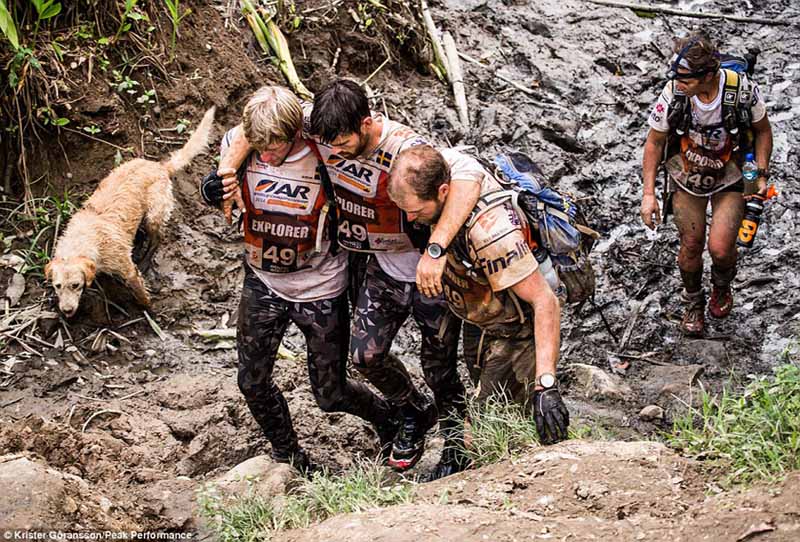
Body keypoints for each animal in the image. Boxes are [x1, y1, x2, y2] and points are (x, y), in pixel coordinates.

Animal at [46, 108, 216, 316]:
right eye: (58, 286)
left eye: (76, 285)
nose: (67, 311)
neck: (84, 238)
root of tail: (159, 166)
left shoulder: (128, 270)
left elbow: (140, 292)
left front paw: (149, 309)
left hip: (154, 215)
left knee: (157, 239)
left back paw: (145, 260)